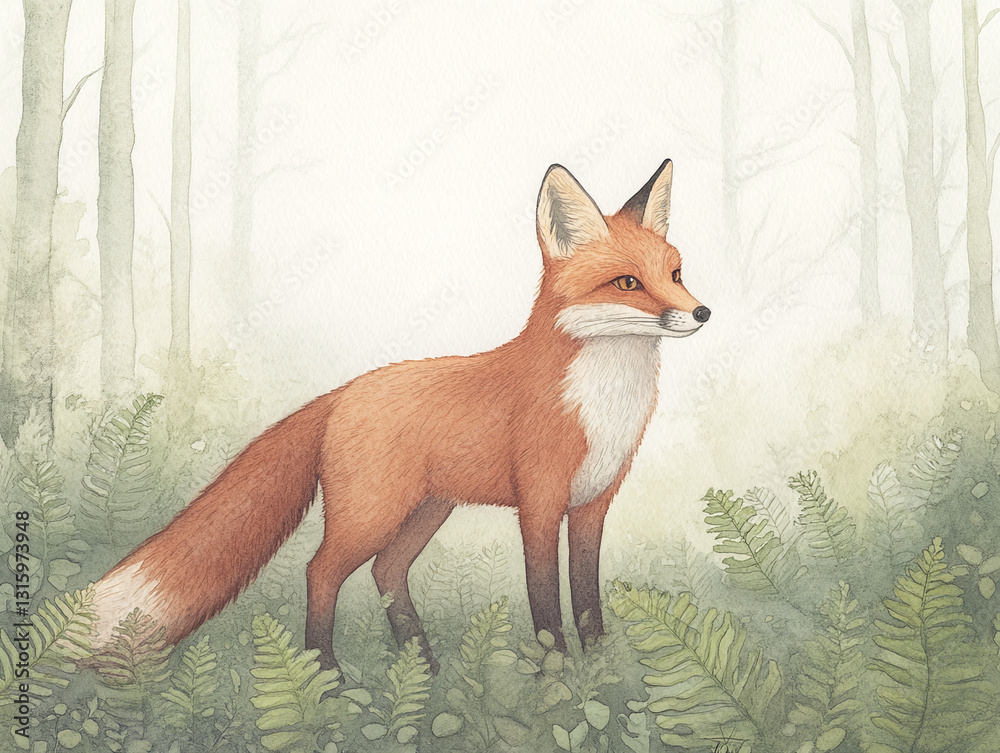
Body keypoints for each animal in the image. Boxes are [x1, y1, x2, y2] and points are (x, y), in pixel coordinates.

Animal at [91, 160, 710, 673]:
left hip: (424, 511)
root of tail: (342, 392)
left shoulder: (591, 506)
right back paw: (329, 680)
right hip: (371, 514)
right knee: (321, 571)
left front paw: (601, 675)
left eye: (676, 275)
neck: (604, 402)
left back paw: (423, 670)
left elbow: (587, 601)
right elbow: (545, 605)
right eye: (628, 283)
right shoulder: (538, 505)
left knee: (386, 572)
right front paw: (554, 681)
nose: (702, 312)